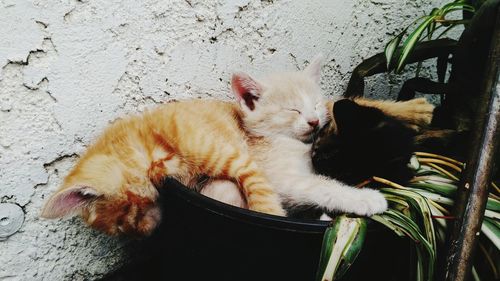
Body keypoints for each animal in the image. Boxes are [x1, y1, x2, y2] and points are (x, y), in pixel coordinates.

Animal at [42, 99, 286, 235]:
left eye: (121, 220)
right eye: (121, 229)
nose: (145, 235)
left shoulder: (239, 161)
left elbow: (261, 195)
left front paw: (269, 213)